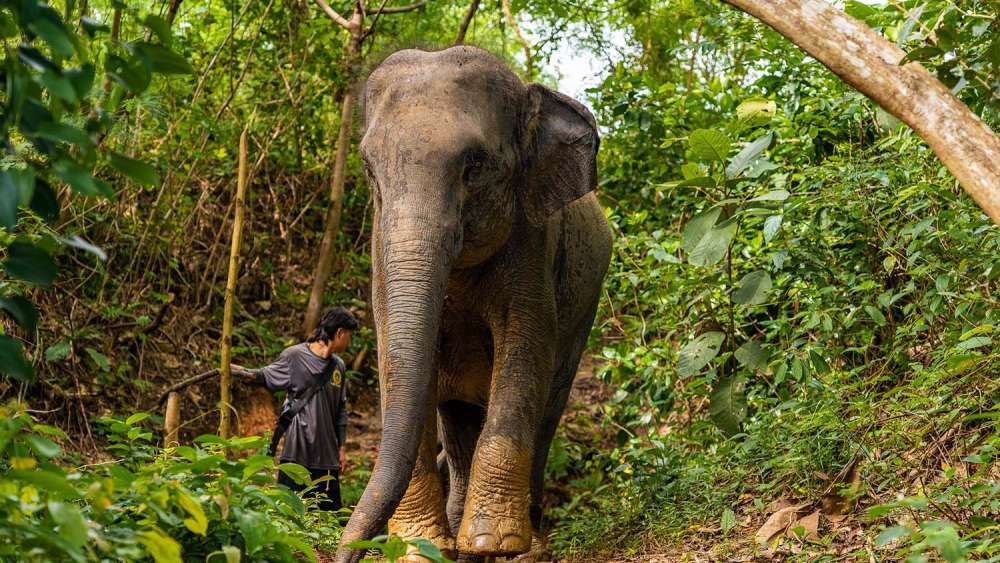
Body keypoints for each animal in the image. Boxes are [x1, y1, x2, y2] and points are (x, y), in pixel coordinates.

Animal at [338, 45, 608, 563]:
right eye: (368, 167)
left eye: (475, 164)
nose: (347, 552)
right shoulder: (380, 252)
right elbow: (396, 362)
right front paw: (420, 548)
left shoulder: (533, 243)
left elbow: (524, 351)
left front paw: (494, 541)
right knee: (459, 421)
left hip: (585, 311)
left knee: (547, 408)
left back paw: (524, 543)